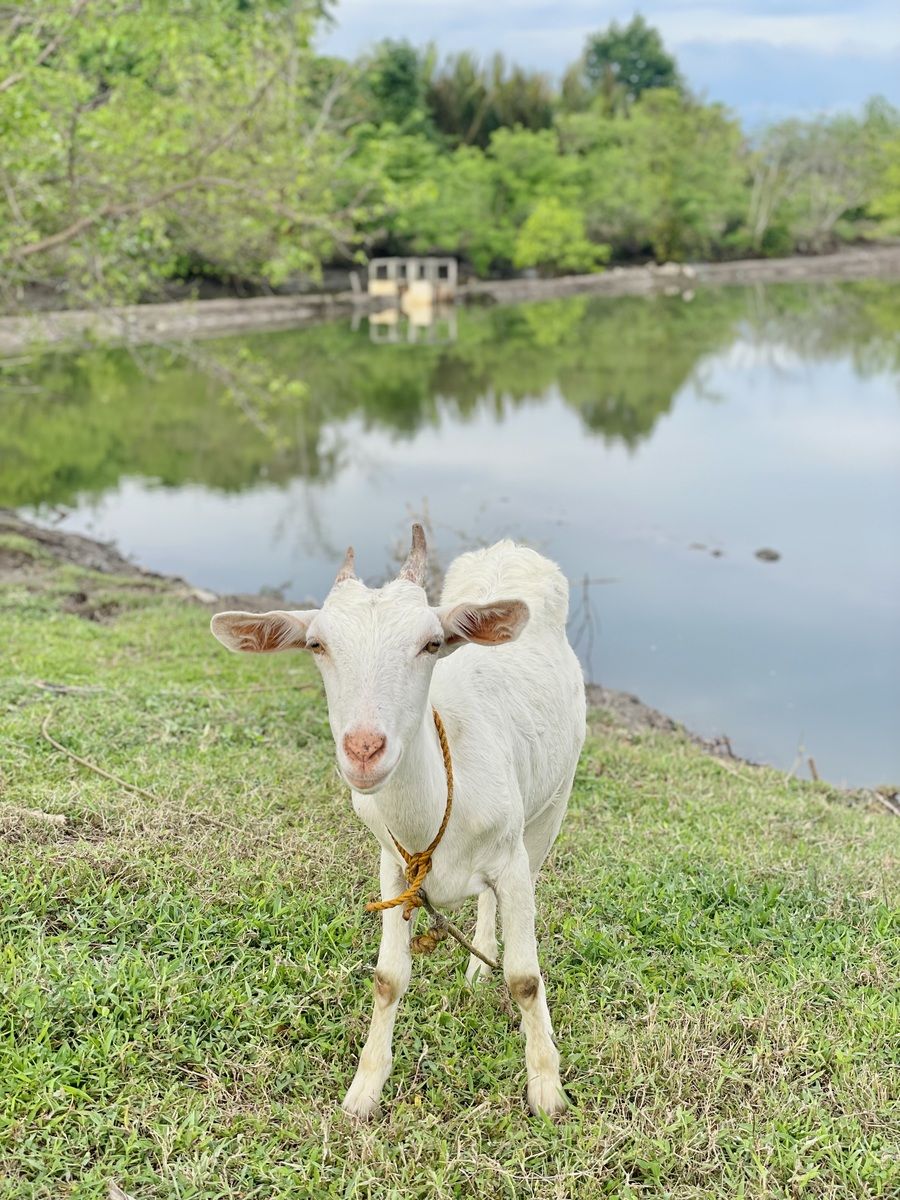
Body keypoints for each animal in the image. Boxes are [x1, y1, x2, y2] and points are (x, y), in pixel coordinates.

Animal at [210, 525, 586, 1117]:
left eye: (431, 643)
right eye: (317, 645)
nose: (364, 750)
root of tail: (509, 552)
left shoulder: (510, 859)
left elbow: (526, 978)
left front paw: (547, 1090)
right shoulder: (393, 865)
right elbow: (388, 978)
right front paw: (364, 1090)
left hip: (553, 803)